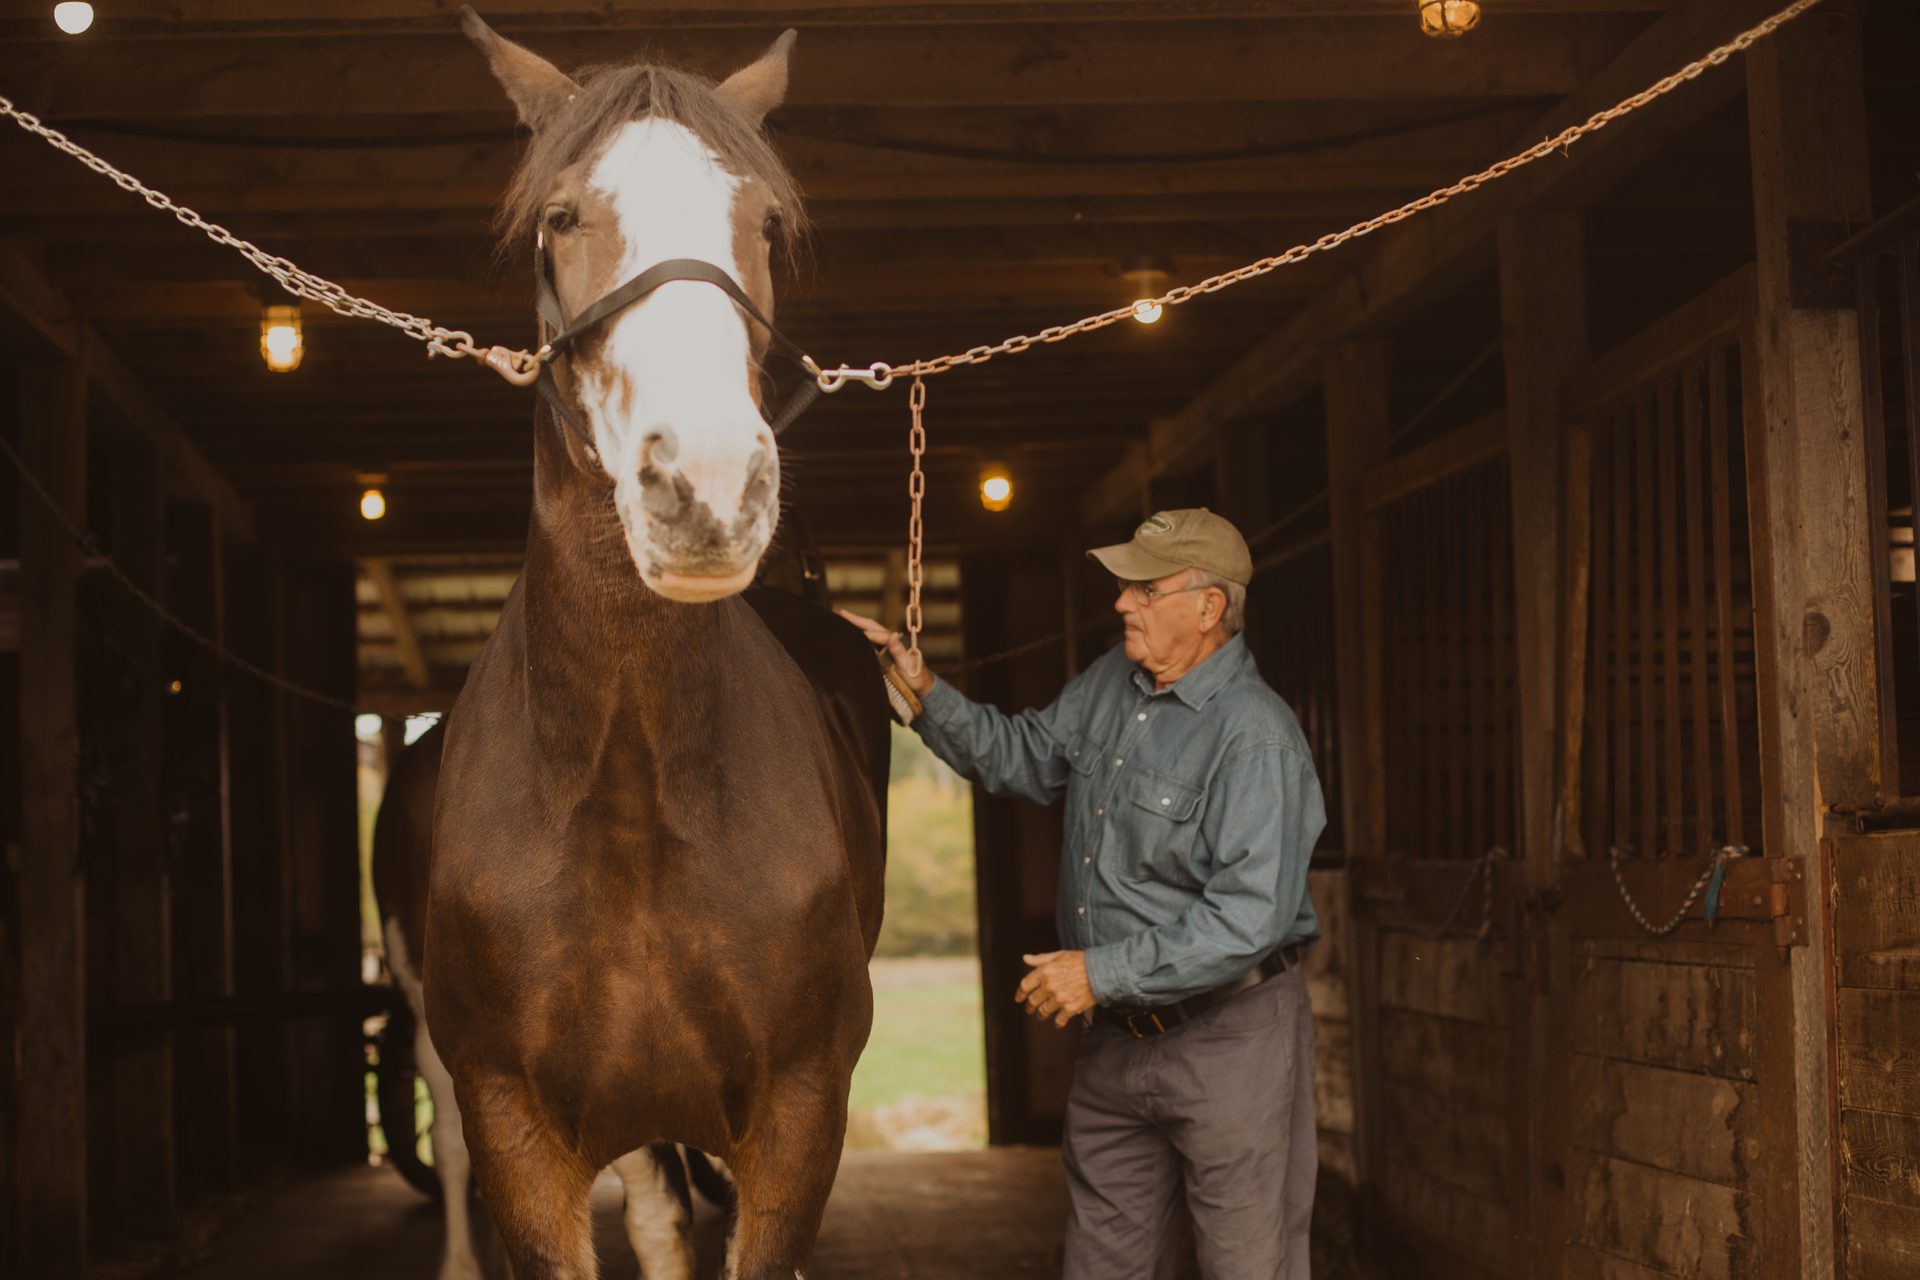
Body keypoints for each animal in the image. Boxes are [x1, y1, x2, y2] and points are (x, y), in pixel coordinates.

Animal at [424, 12, 887, 1280]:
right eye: (560, 217)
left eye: (764, 224)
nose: (707, 488)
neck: (627, 788)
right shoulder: (515, 1128)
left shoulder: (799, 1114)